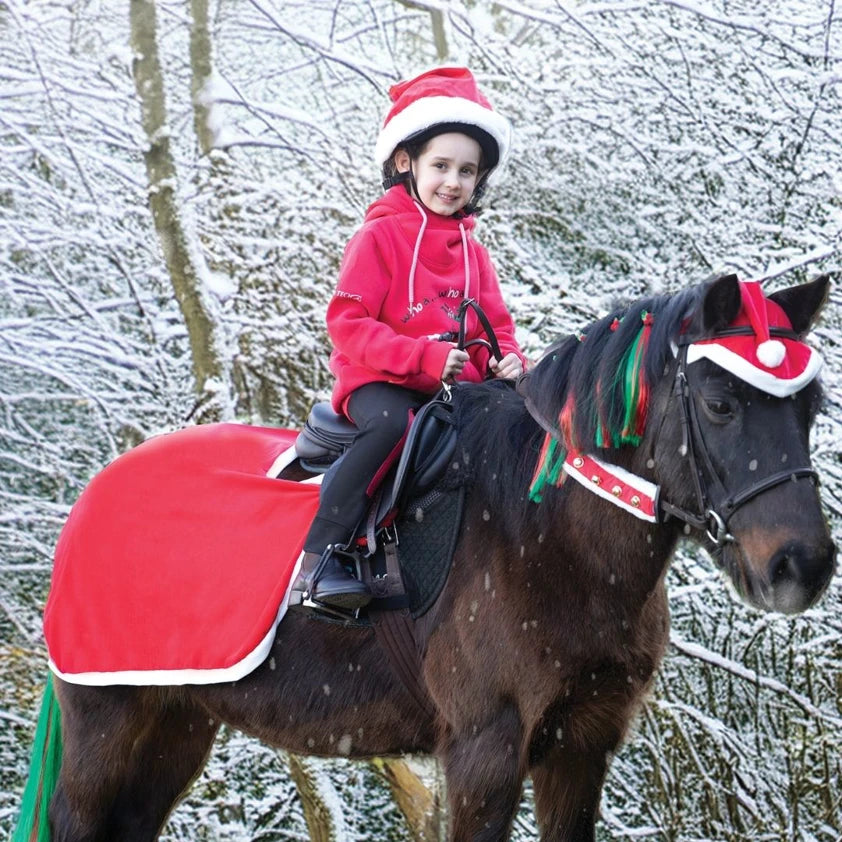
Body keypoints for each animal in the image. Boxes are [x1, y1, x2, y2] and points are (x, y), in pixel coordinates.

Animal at [15, 272, 836, 842]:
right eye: (721, 404)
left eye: (810, 405)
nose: (802, 566)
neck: (542, 535)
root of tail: (94, 495)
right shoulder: (485, 751)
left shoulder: (582, 745)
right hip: (105, 724)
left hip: (177, 721)